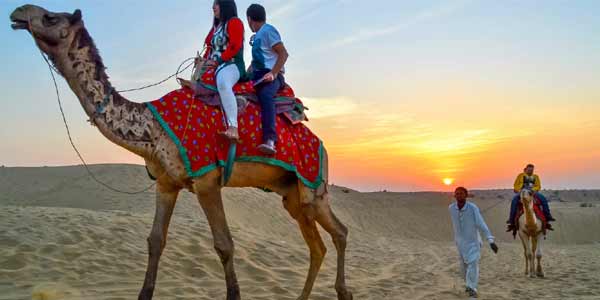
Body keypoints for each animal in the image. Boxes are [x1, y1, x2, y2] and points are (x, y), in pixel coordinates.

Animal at [10, 5, 352, 300]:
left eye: (51, 17)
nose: (18, 12)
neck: (152, 128)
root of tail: (321, 144)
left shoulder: (206, 180)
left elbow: (224, 244)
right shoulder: (166, 183)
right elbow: (155, 240)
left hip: (313, 186)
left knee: (340, 232)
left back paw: (343, 291)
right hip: (291, 194)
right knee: (318, 245)